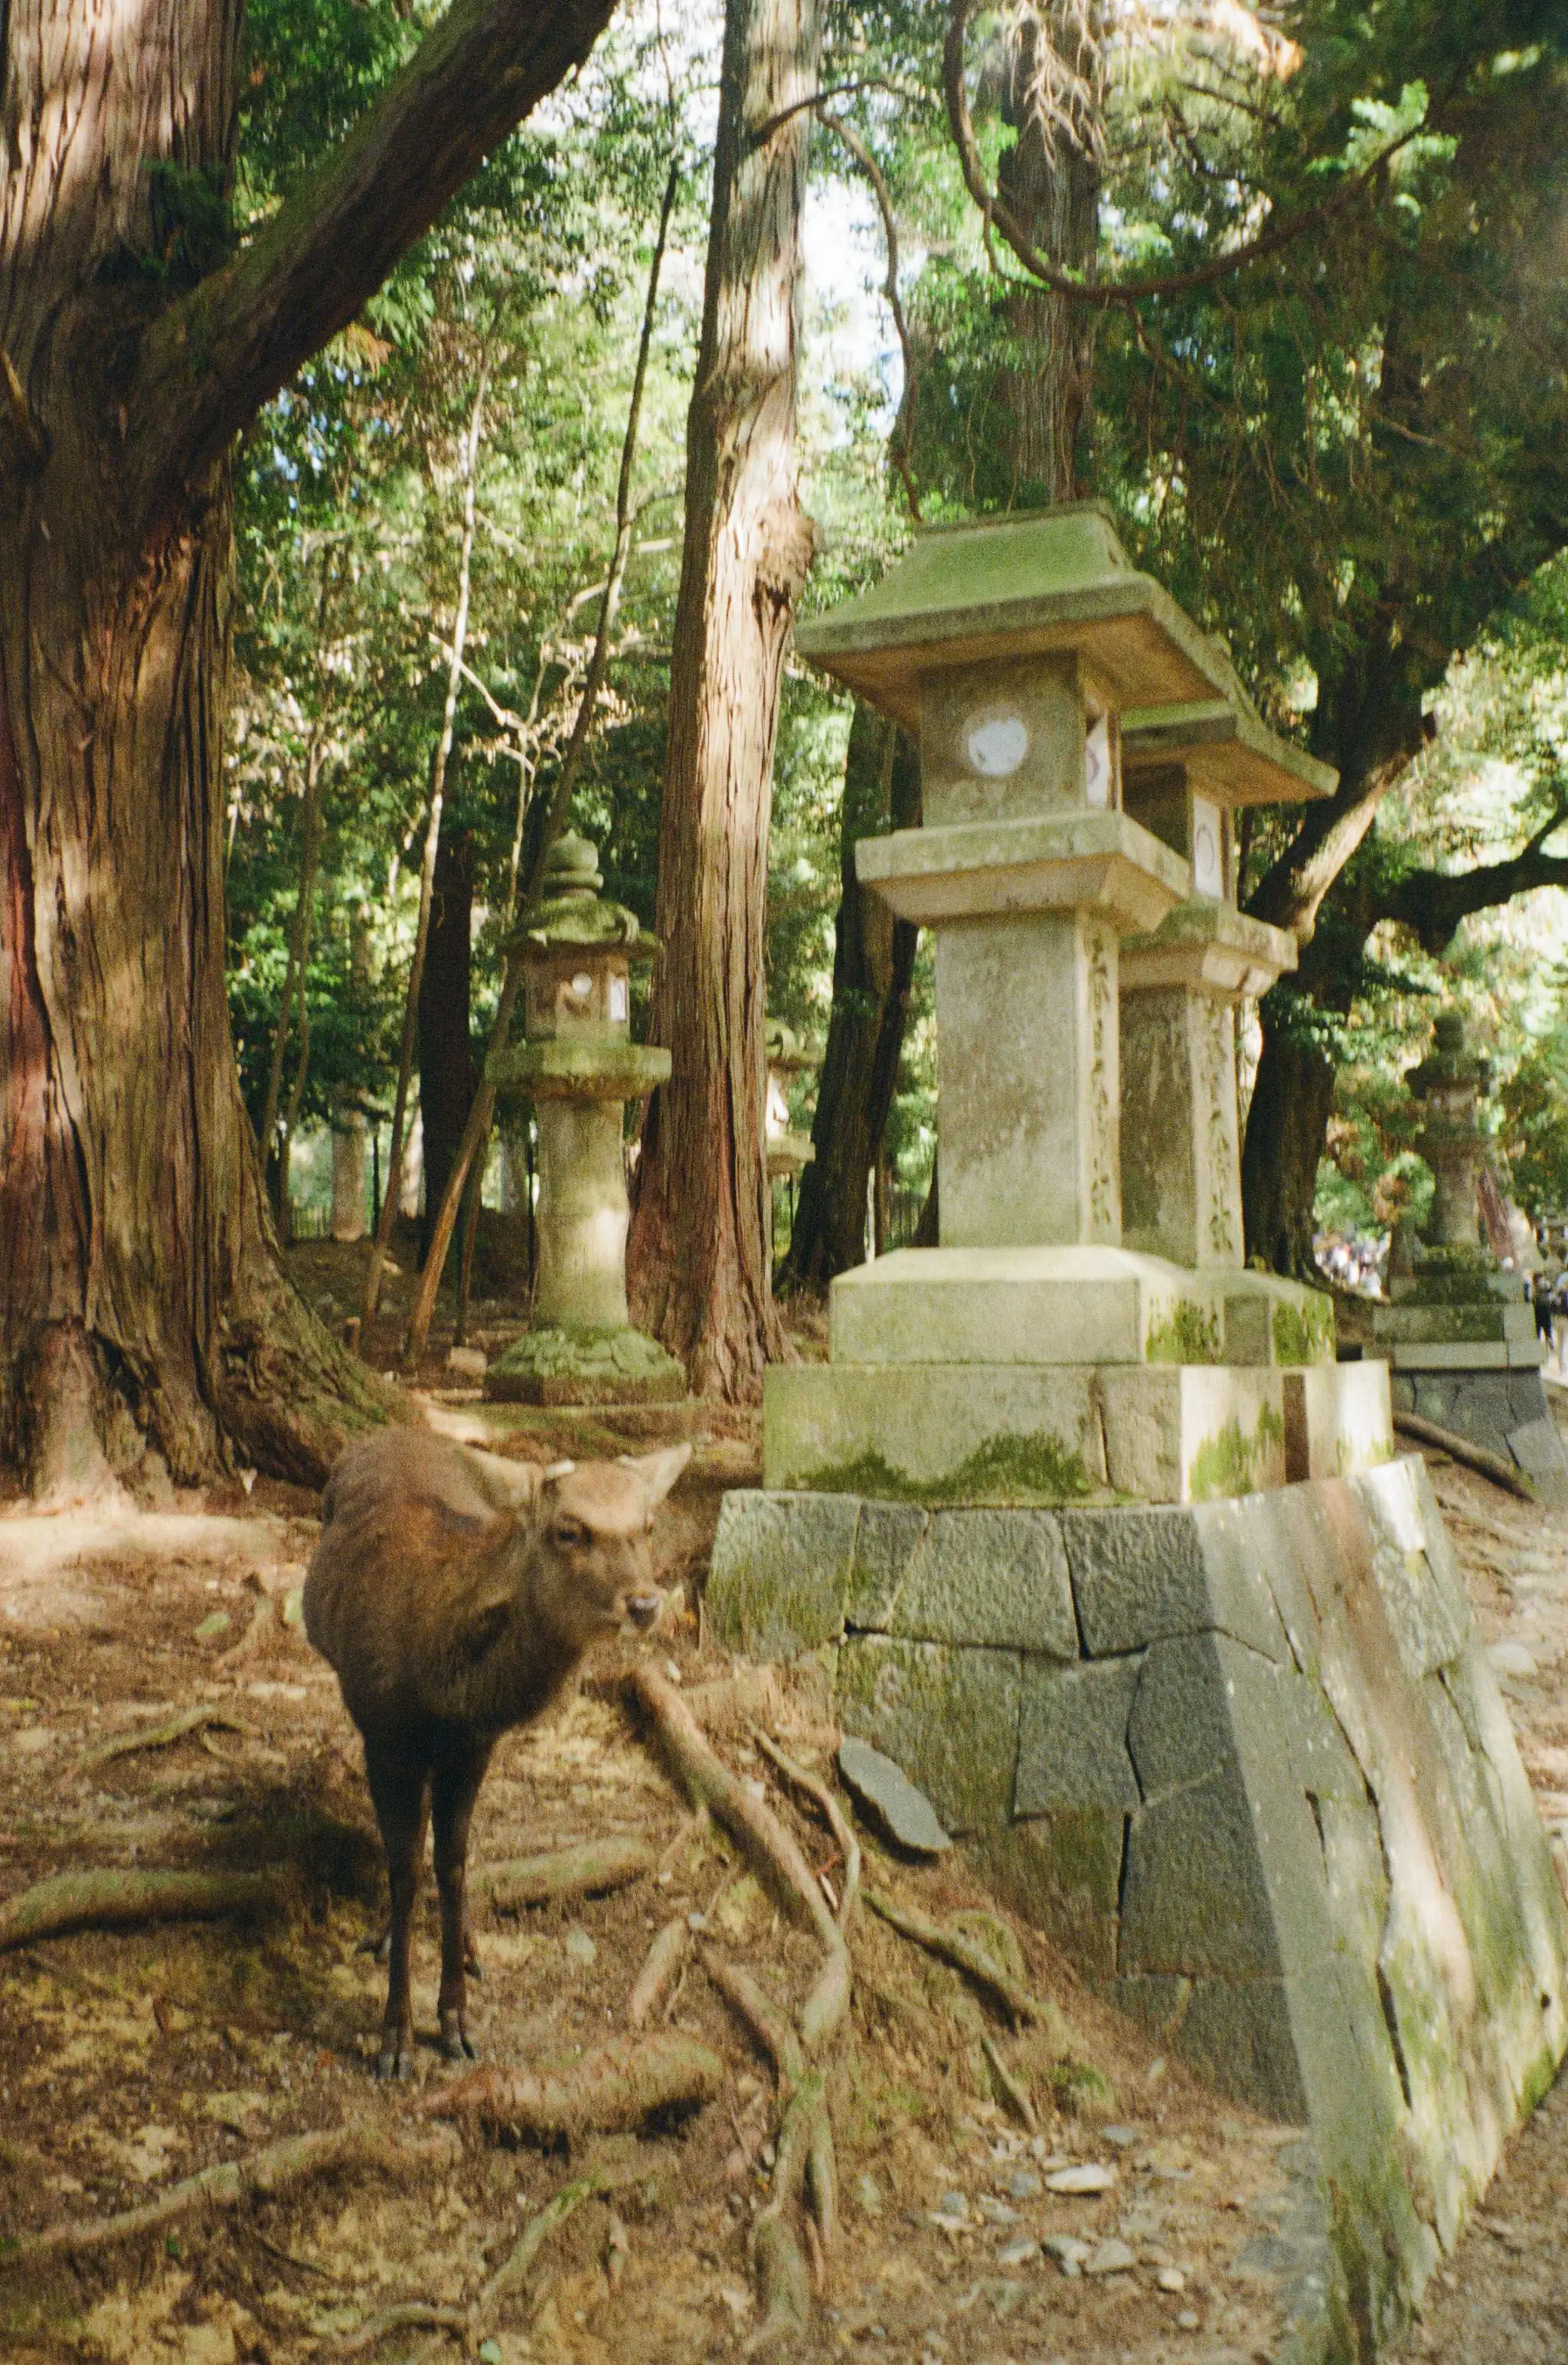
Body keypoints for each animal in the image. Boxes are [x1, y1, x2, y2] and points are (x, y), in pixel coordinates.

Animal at [304, 1424, 690, 2079]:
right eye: (569, 1530)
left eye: (648, 1524)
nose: (644, 1603)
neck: (439, 1687)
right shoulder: (385, 1737)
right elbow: (406, 1866)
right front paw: (395, 2038)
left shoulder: (474, 1746)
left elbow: (453, 1859)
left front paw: (456, 2017)